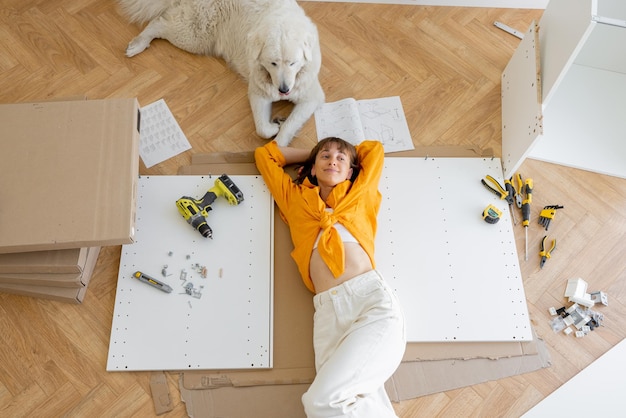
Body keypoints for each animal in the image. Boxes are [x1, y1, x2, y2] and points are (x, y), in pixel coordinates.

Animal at [117, 0, 324, 147]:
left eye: (292, 63)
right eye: (273, 63)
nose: (284, 89)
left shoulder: (310, 96)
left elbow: (289, 124)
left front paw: (280, 134)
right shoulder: (258, 92)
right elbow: (262, 128)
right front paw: (275, 128)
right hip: (195, 35)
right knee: (159, 23)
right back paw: (138, 44)